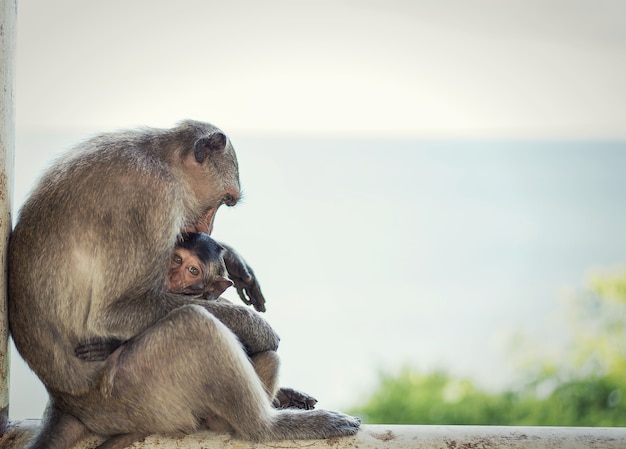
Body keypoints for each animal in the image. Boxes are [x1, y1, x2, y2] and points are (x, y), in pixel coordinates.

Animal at [8, 120, 360, 448]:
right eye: (227, 200)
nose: (209, 226)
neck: (160, 158)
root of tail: (66, 404)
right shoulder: (152, 200)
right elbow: (111, 315)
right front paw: (257, 328)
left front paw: (230, 257)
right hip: (130, 395)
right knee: (194, 324)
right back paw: (267, 426)